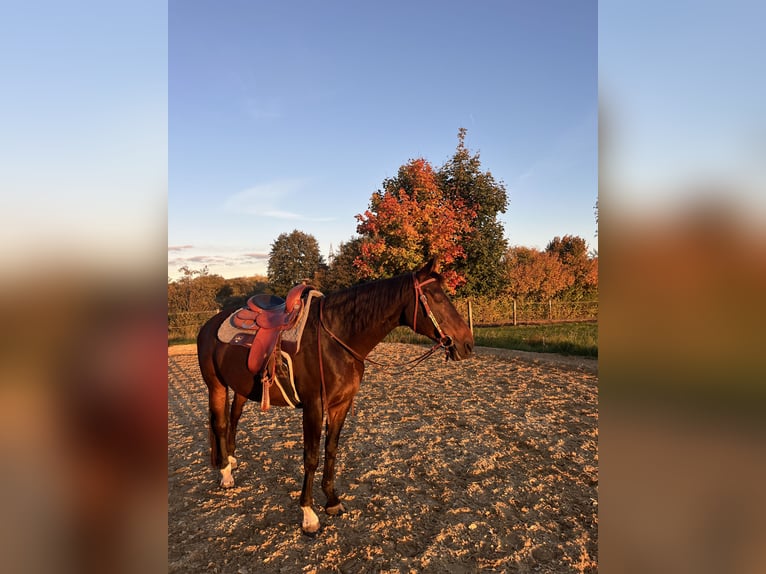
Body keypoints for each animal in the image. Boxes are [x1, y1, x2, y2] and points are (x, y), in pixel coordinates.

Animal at [196, 258, 474, 535]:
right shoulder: (313, 406)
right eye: (435, 298)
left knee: (234, 419)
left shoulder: (340, 405)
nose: (467, 345)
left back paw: (231, 460)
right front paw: (309, 515)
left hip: (241, 389)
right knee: (220, 424)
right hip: (216, 386)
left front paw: (331, 501)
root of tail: (209, 325)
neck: (336, 339)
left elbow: (331, 450)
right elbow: (311, 457)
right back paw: (226, 475)